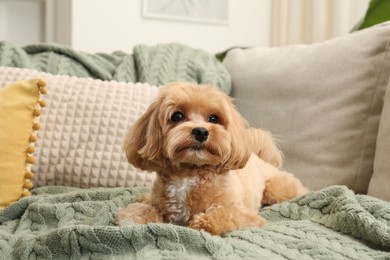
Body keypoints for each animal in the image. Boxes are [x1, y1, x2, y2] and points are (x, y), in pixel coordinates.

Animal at [116, 82, 308, 235]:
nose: (201, 131)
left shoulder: (244, 215)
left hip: (276, 188)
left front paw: (202, 223)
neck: (190, 172)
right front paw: (134, 215)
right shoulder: (159, 202)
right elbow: (142, 208)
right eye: (177, 116)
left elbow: (225, 214)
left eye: (214, 118)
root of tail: (259, 158)